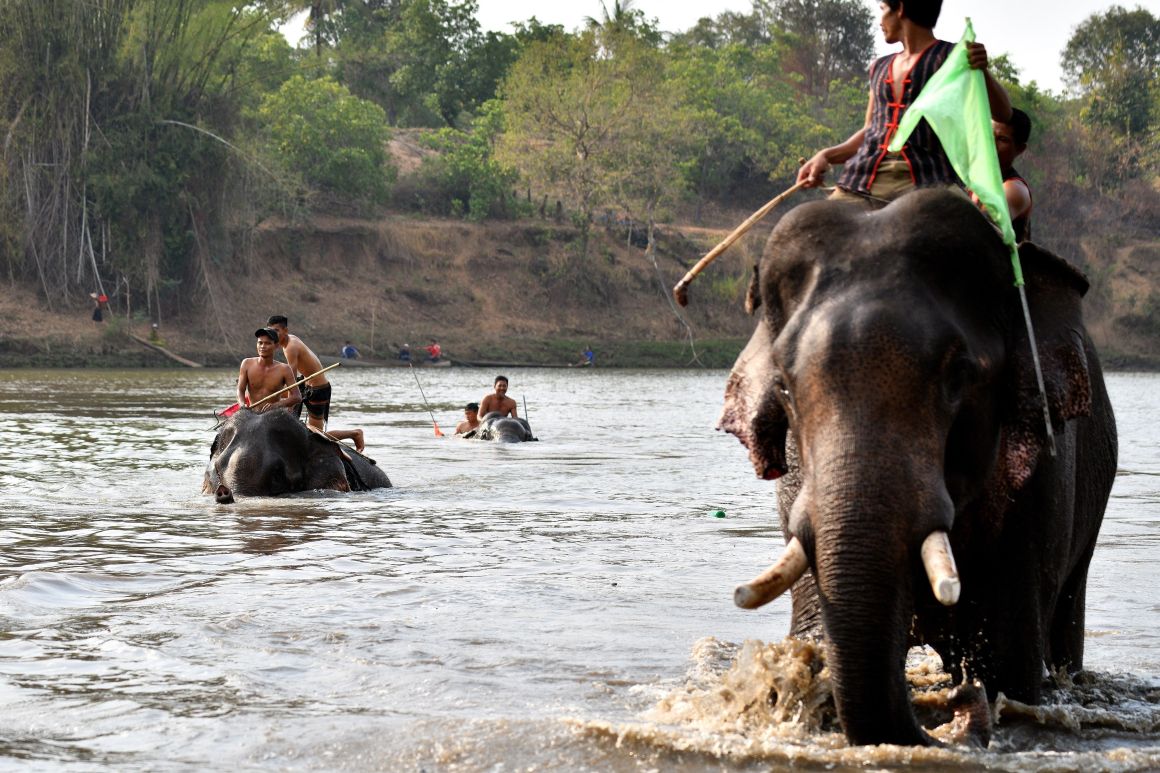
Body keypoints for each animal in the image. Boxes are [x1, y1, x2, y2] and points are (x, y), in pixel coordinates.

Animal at [719, 188, 1118, 747]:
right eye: (783, 387)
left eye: (959, 376)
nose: (959, 702)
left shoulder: (1042, 480)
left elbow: (1009, 661)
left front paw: (985, 689)